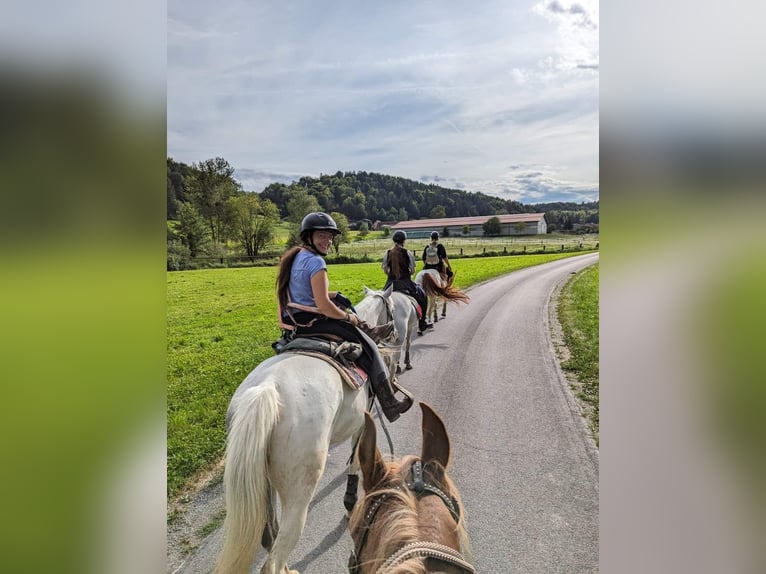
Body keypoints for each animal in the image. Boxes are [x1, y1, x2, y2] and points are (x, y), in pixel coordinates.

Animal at [216, 290, 396, 574]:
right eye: (391, 308)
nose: (396, 334)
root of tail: (266, 390)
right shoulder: (361, 425)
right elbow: (355, 463)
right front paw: (350, 505)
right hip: (298, 492)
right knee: (274, 557)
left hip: (262, 482)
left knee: (270, 537)